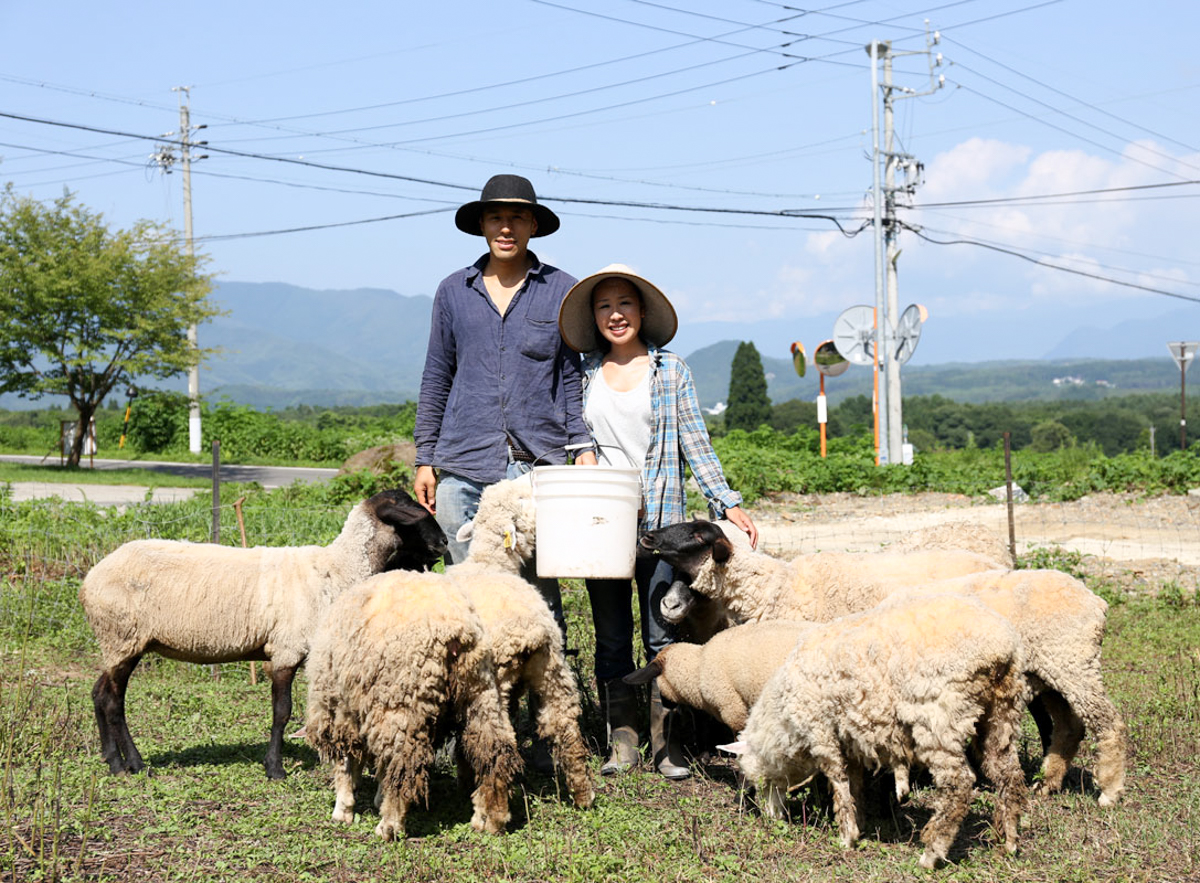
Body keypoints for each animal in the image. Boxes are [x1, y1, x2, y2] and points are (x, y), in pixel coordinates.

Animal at [79, 489, 446, 777]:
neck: (336, 569)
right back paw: (132, 765)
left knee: (99, 693)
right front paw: (275, 768)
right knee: (113, 702)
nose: (443, 542)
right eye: (409, 512)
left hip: (119, 642)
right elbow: (282, 711)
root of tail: (88, 581)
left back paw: (112, 759)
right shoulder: (285, 650)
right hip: (123, 636)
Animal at [304, 568, 520, 839]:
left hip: (399, 701)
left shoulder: (338, 708)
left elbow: (346, 763)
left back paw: (389, 825)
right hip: (480, 691)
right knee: (496, 751)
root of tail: (456, 630)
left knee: (403, 761)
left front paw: (343, 810)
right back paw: (491, 819)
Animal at [451, 475, 595, 806]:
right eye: (520, 499)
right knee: (566, 728)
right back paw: (583, 794)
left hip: (492, 683)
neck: (488, 563)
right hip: (553, 670)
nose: (530, 475)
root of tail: (531, 631)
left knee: (499, 739)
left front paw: (463, 776)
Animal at [643, 518, 1128, 806]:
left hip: (1070, 663)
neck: (777, 588)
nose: (646, 535)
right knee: (1068, 724)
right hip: (1050, 670)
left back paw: (1105, 791)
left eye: (697, 533)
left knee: (1103, 722)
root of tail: (1097, 603)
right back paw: (1049, 780)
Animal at [715, 592, 1027, 868]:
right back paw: (1009, 843)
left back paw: (932, 854)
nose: (770, 818)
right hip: (1002, 712)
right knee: (1009, 774)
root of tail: (1000, 646)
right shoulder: (849, 737)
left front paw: (846, 836)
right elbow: (854, 782)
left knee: (958, 785)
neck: (783, 720)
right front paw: (861, 821)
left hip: (939, 717)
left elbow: (838, 781)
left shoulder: (821, 731)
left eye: (755, 779)